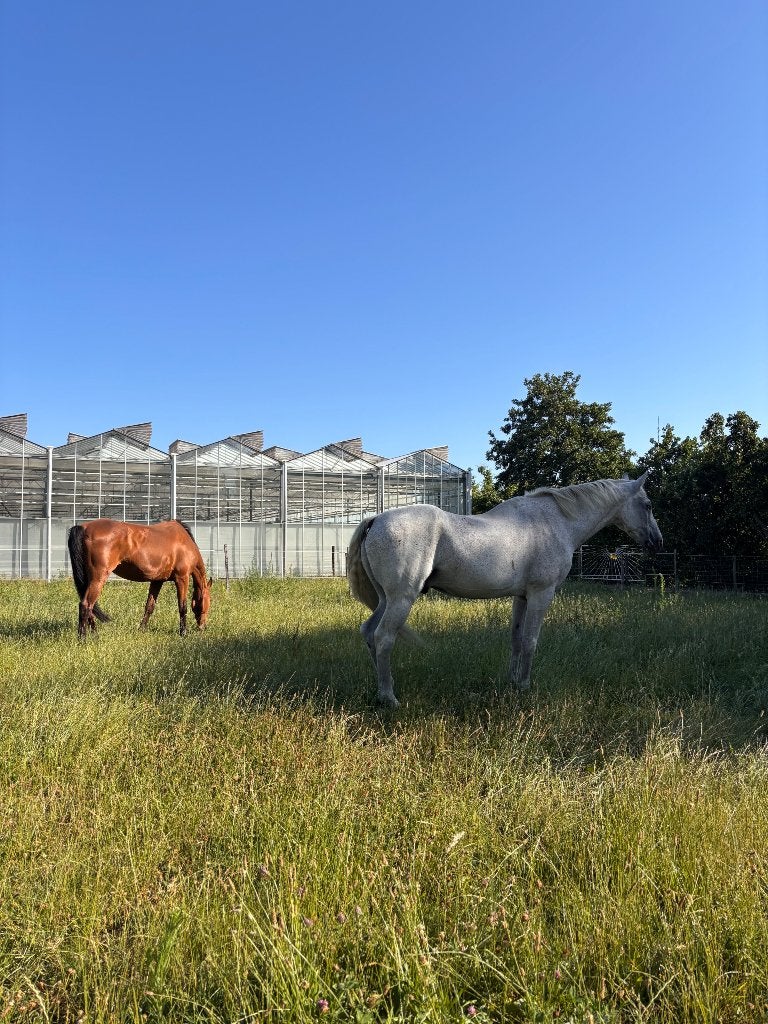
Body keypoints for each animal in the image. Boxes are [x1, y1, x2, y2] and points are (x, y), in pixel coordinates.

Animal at [67, 519, 212, 638]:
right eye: (207, 602)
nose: (203, 627)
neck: (184, 542)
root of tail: (84, 527)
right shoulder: (182, 578)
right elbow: (183, 607)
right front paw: (183, 633)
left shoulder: (157, 581)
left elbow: (149, 606)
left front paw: (141, 629)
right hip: (98, 578)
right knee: (86, 605)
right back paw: (82, 638)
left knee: (89, 607)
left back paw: (95, 634)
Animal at [348, 473, 662, 707]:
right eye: (647, 504)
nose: (657, 541)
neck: (555, 521)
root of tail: (376, 520)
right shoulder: (541, 594)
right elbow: (531, 641)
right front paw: (524, 685)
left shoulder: (521, 598)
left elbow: (517, 640)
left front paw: (512, 681)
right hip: (402, 599)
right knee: (384, 637)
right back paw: (389, 697)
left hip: (386, 599)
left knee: (369, 632)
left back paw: (381, 689)